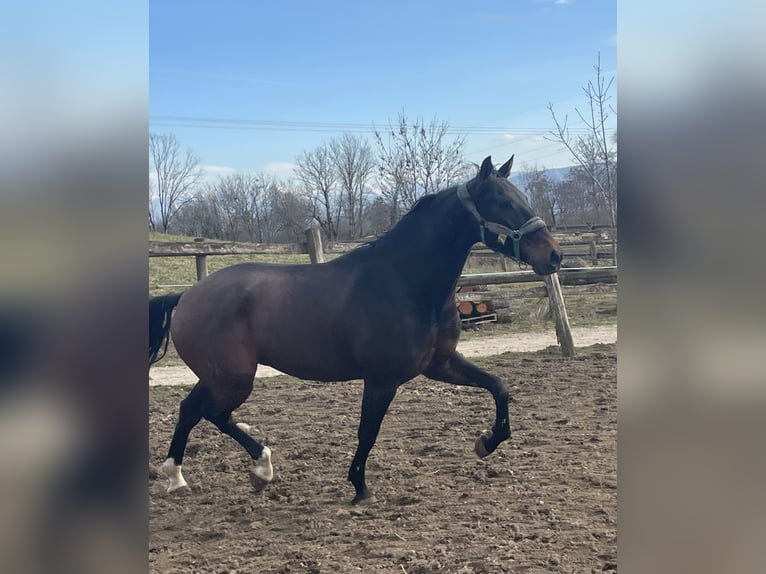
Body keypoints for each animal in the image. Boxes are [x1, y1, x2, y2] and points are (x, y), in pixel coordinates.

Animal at [150, 156, 564, 504]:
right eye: (503, 203)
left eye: (521, 198)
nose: (554, 255)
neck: (406, 281)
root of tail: (188, 295)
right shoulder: (381, 379)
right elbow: (368, 431)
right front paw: (360, 488)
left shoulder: (440, 364)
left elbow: (499, 387)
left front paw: (487, 442)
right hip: (234, 378)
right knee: (212, 414)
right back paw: (260, 467)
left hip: (219, 376)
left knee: (191, 409)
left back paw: (180, 477)